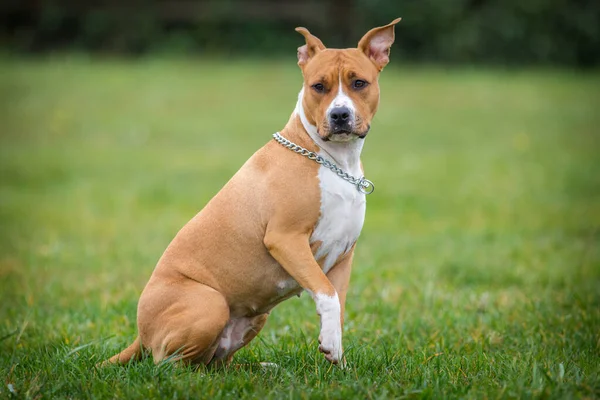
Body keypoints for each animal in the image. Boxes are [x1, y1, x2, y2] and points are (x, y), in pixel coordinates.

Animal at [105, 18, 400, 368]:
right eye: (318, 86)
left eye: (359, 83)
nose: (339, 115)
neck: (334, 162)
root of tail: (140, 335)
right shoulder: (286, 239)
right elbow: (326, 294)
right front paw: (331, 347)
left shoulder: (343, 256)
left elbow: (336, 305)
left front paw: (338, 359)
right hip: (210, 304)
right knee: (168, 364)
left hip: (253, 318)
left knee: (216, 362)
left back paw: (260, 367)